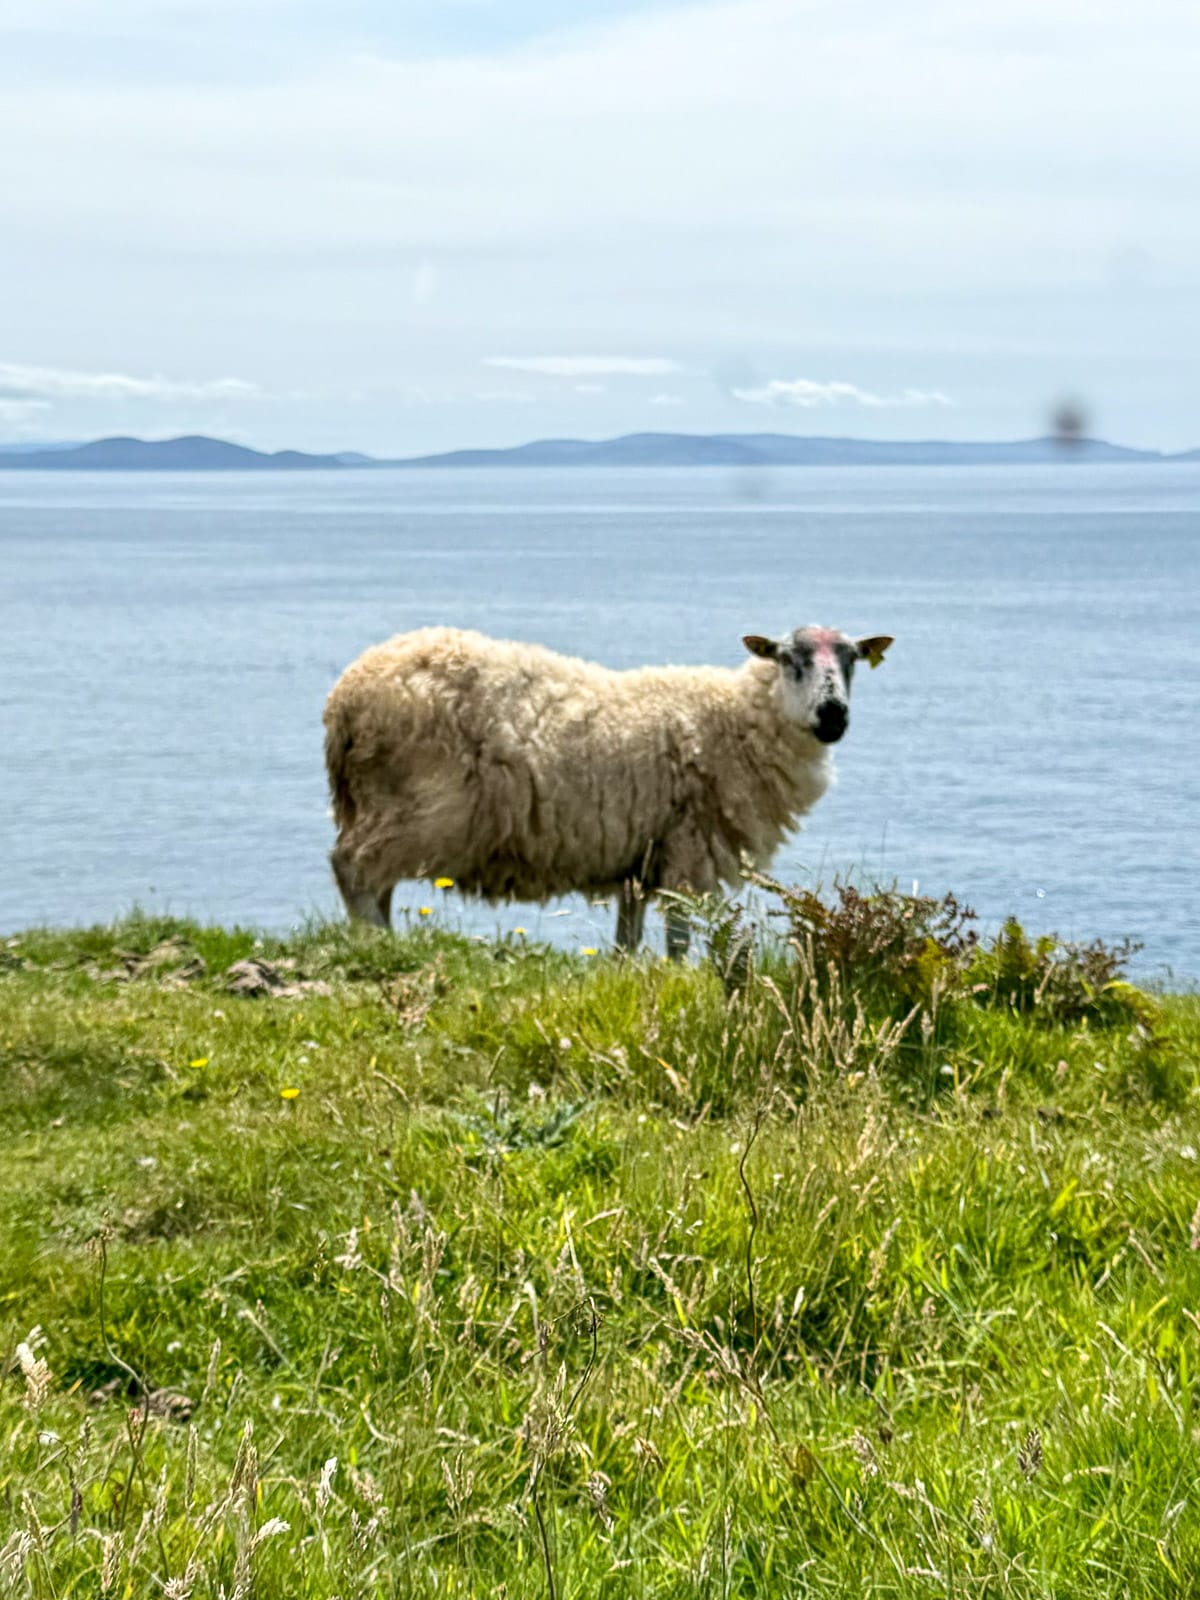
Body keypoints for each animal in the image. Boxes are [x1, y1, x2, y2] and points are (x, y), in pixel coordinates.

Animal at [321, 620, 896, 947]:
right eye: (790, 660)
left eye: (851, 661)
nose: (833, 715)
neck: (739, 718)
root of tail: (346, 699)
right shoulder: (687, 850)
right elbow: (678, 943)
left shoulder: (638, 862)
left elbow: (627, 944)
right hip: (418, 805)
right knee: (354, 868)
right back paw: (376, 946)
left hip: (383, 805)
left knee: (376, 882)